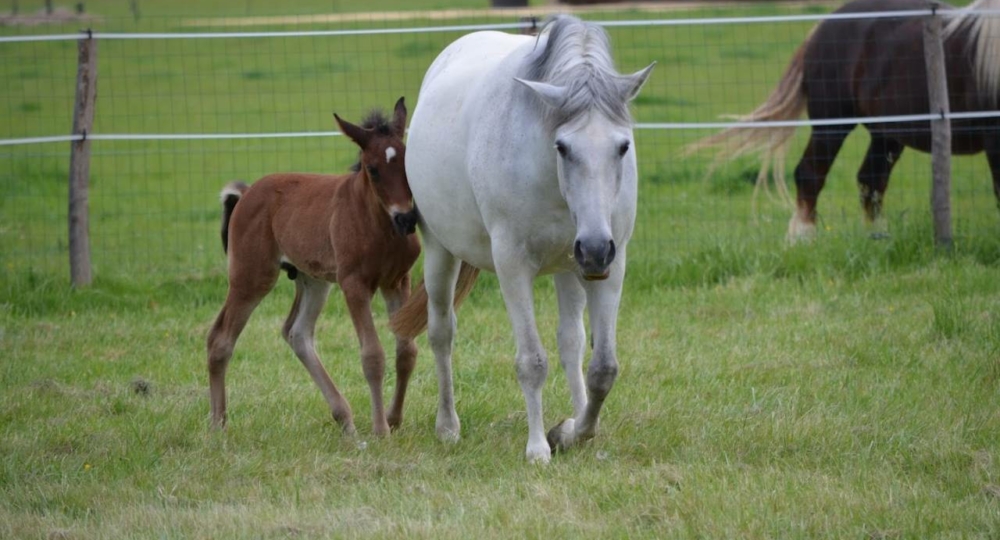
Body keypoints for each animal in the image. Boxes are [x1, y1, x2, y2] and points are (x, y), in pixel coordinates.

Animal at [207, 98, 418, 434]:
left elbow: (406, 351)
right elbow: (372, 355)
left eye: (407, 163)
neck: (379, 225)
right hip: (251, 276)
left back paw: (346, 421)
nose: (407, 219)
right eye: (372, 170)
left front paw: (394, 419)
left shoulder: (397, 280)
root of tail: (247, 192)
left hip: (313, 280)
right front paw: (381, 430)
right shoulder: (353, 284)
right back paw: (218, 426)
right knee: (220, 339)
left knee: (297, 333)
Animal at [390, 15, 656, 464]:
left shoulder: (611, 264)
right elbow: (531, 362)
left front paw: (573, 431)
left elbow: (602, 368)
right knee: (442, 333)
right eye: (562, 147)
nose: (594, 247)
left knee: (571, 342)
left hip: (570, 266)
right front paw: (537, 449)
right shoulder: (513, 266)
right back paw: (448, 427)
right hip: (442, 255)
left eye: (623, 146)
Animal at [692, 0, 1000, 240]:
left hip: (886, 133)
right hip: (833, 123)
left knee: (871, 181)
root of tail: (822, 26)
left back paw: (877, 238)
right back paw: (803, 238)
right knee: (811, 174)